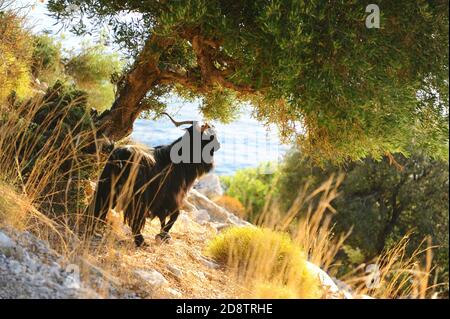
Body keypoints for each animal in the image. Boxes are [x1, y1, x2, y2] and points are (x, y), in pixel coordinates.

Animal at [87, 115, 220, 248]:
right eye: (210, 135)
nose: (218, 145)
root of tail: (119, 156)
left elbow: (166, 217)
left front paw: (163, 235)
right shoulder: (171, 197)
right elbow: (174, 215)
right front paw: (163, 235)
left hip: (108, 187)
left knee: (99, 207)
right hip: (135, 196)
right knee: (133, 220)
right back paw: (141, 242)